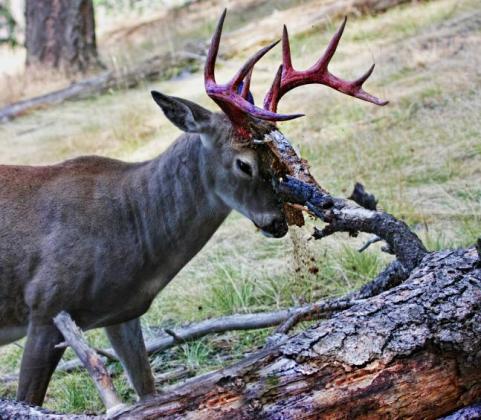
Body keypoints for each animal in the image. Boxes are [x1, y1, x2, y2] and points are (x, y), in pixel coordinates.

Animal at [0, 10, 384, 410]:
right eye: (244, 163)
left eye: (276, 157)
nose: (278, 222)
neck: (129, 223)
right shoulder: (46, 305)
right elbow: (28, 398)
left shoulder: (122, 313)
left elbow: (149, 392)